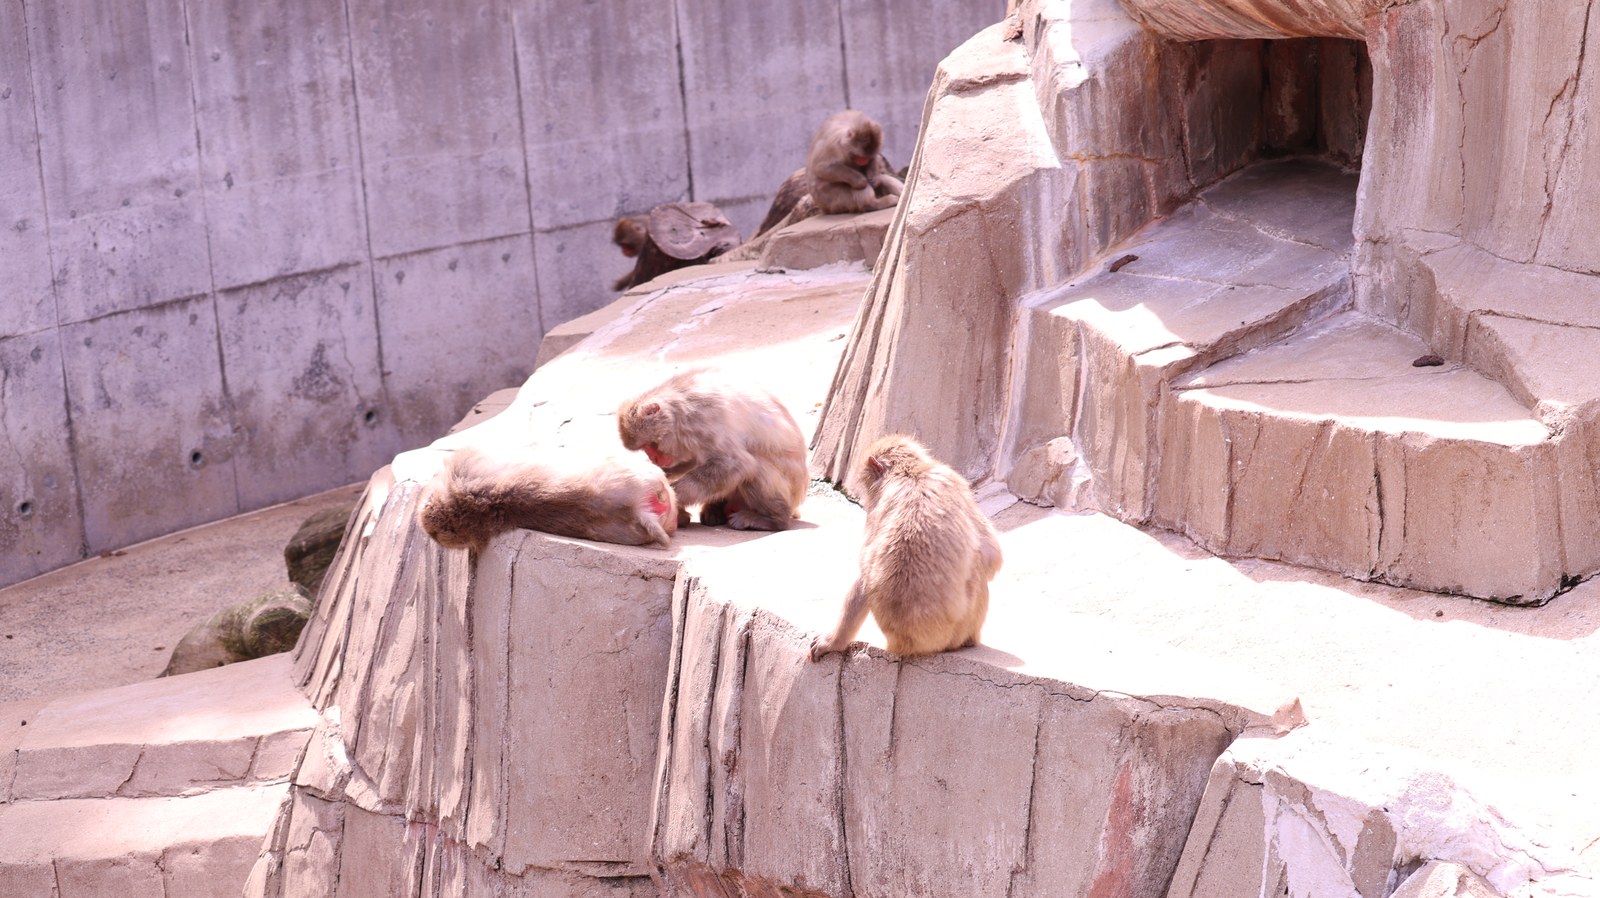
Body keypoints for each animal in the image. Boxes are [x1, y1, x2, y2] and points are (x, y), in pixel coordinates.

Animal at [616, 368, 808, 531]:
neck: (678, 410)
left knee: (755, 466)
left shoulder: (700, 420)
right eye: (644, 448)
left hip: (788, 494)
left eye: (650, 445)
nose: (654, 459)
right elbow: (693, 460)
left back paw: (773, 520)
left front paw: (673, 498)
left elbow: (736, 463)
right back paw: (715, 510)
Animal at [809, 435, 1002, 661]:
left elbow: (865, 576)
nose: (865, 496)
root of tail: (906, 643)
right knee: (978, 568)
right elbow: (992, 553)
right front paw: (834, 642)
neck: (909, 472)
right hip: (960, 627)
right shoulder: (952, 478)